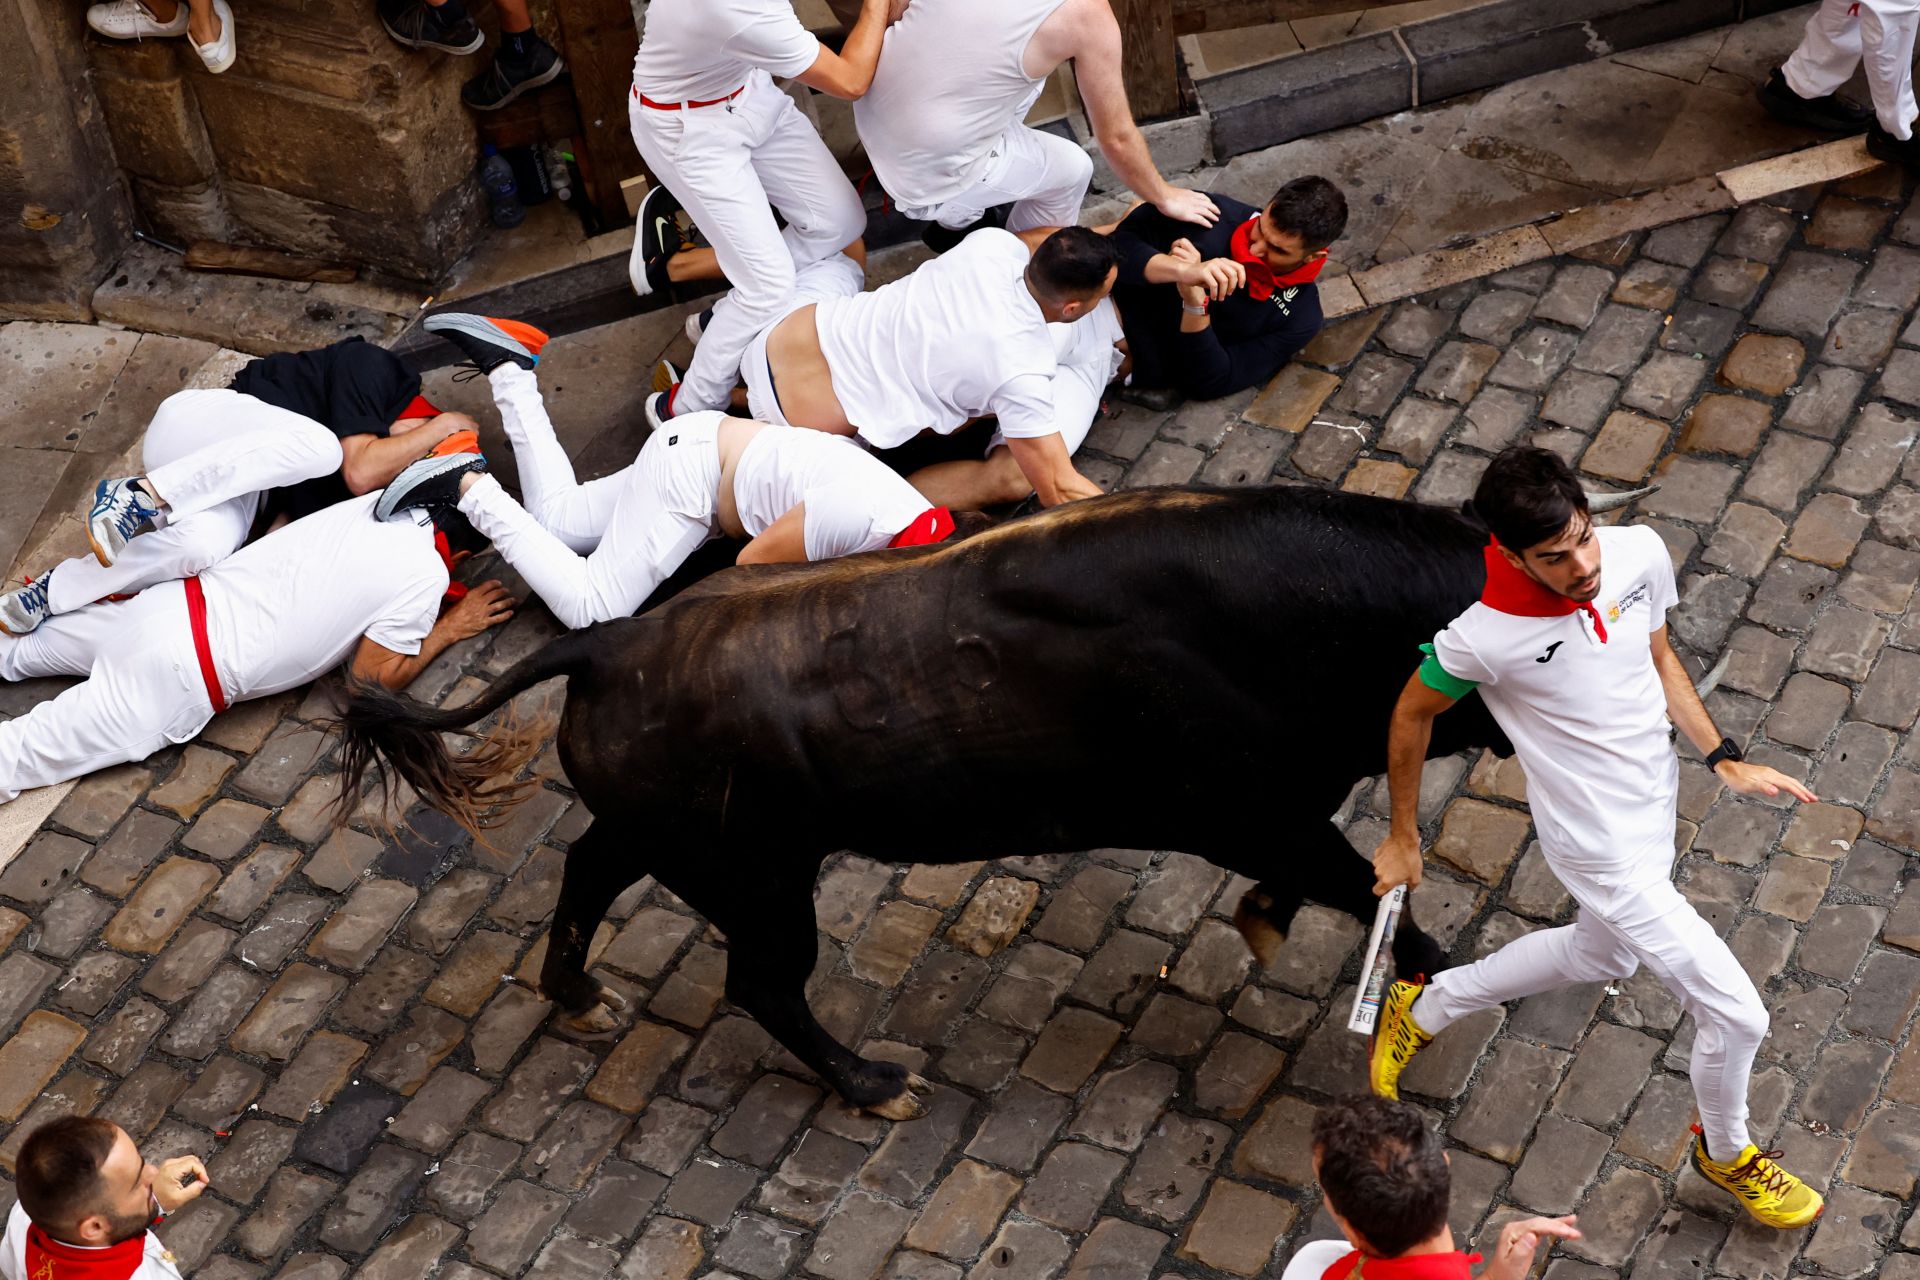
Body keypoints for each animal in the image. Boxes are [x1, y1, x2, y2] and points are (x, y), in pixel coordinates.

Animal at [334, 487, 1512, 1120]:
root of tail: (604, 643)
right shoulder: (1255, 812)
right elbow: (1385, 905)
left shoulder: (1276, 819)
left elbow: (1341, 889)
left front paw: (1270, 925)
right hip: (761, 878)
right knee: (761, 981)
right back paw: (874, 1083)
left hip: (668, 836)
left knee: (586, 871)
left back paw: (580, 996)